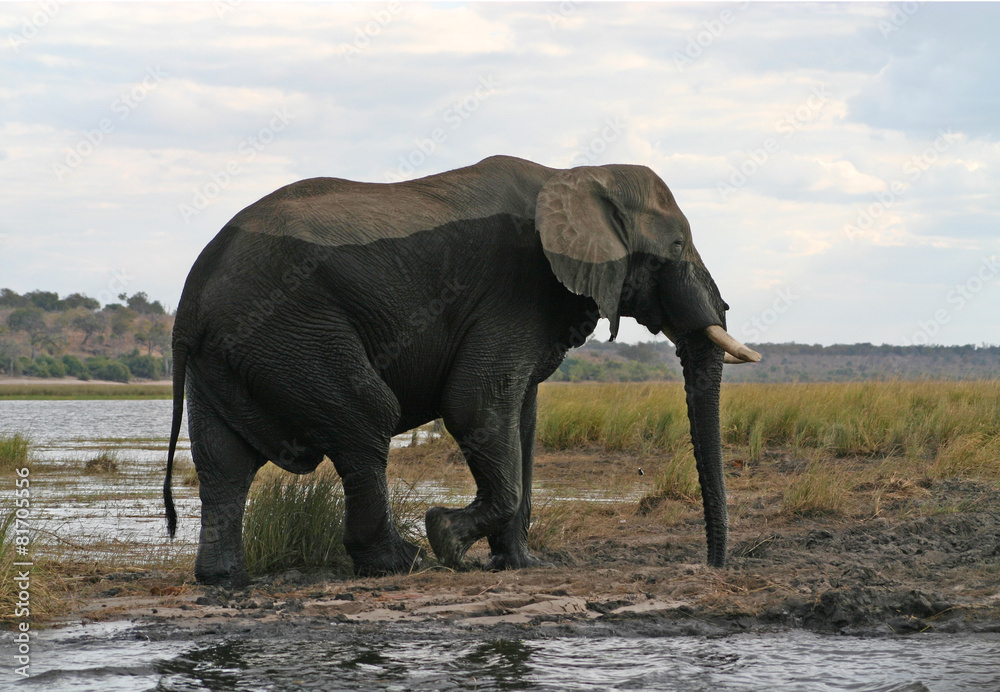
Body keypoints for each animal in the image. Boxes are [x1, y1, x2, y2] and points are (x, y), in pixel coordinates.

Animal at [163, 154, 760, 587]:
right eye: (675, 246)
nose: (712, 565)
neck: (575, 174)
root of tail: (191, 296)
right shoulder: (514, 289)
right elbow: (476, 403)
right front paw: (446, 538)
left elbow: (522, 420)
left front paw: (521, 565)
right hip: (286, 327)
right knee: (365, 417)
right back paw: (400, 562)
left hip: (232, 351)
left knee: (223, 460)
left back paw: (224, 579)